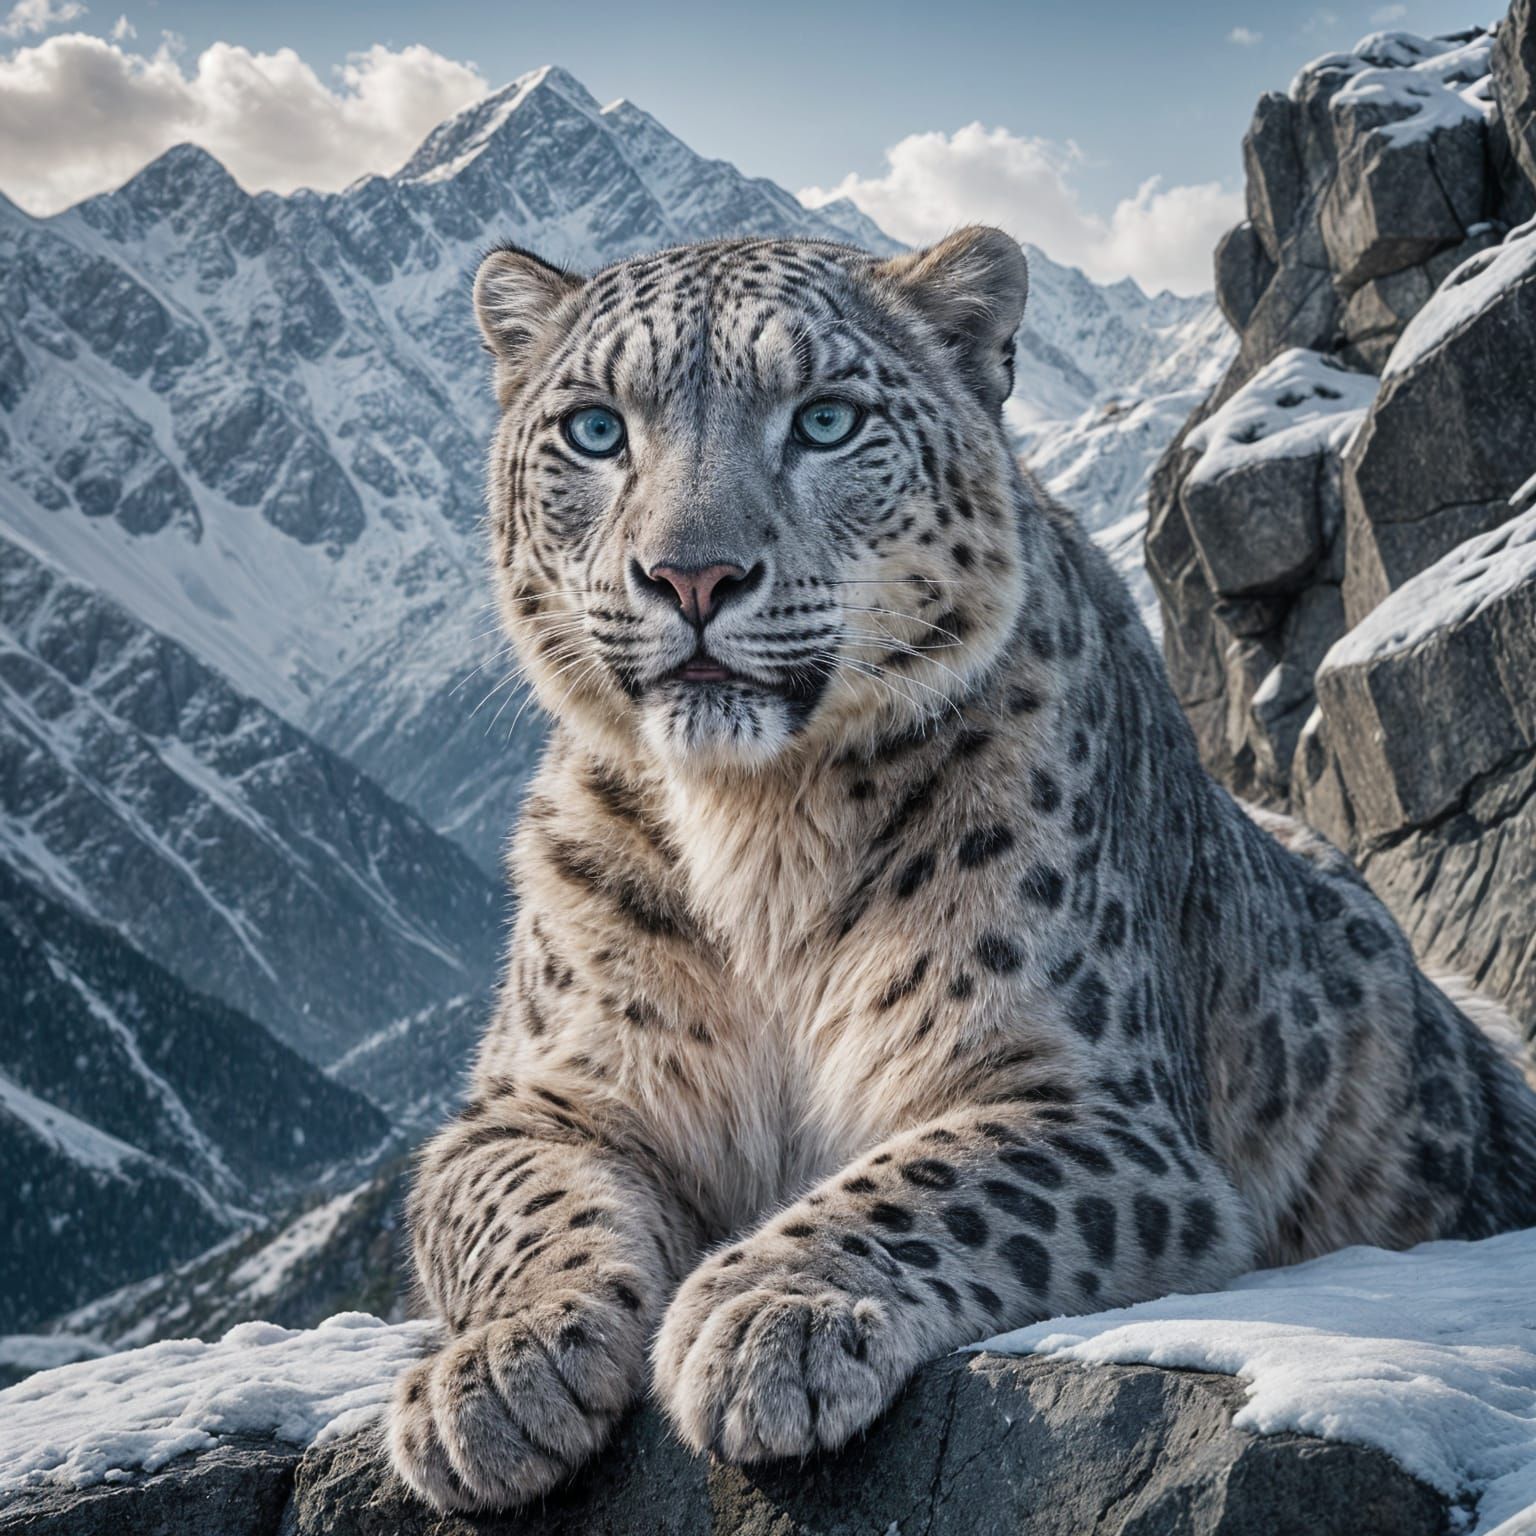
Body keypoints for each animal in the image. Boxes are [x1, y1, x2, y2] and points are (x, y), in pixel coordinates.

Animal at [387, 226, 1536, 1512]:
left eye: (825, 419)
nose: (691, 577)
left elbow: (929, 1178)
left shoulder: (1077, 1094)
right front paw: (500, 1372)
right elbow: (526, 1206)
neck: (754, 838)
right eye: (595, 428)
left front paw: (767, 1316)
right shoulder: (535, 1098)